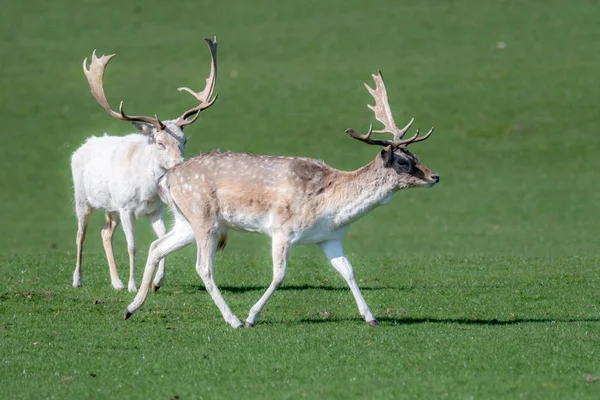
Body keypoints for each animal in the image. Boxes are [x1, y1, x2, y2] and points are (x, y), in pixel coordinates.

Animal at [71, 37, 218, 292]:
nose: (180, 163)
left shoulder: (155, 209)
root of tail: (82, 147)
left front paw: (157, 282)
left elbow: (160, 238)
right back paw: (78, 279)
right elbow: (132, 245)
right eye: (159, 142)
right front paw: (133, 284)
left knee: (105, 233)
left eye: (184, 140)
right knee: (81, 233)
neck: (145, 191)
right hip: (83, 198)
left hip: (111, 207)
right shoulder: (126, 207)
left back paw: (116, 282)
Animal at [123, 69, 440, 324]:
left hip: (186, 221)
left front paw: (371, 317)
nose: (435, 176)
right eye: (402, 161)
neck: (332, 208)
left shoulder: (329, 238)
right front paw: (252, 317)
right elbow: (279, 275)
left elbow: (348, 271)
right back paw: (233, 319)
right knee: (203, 267)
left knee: (157, 246)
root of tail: (166, 178)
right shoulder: (282, 230)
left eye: (416, 155)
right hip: (203, 217)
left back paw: (131, 308)